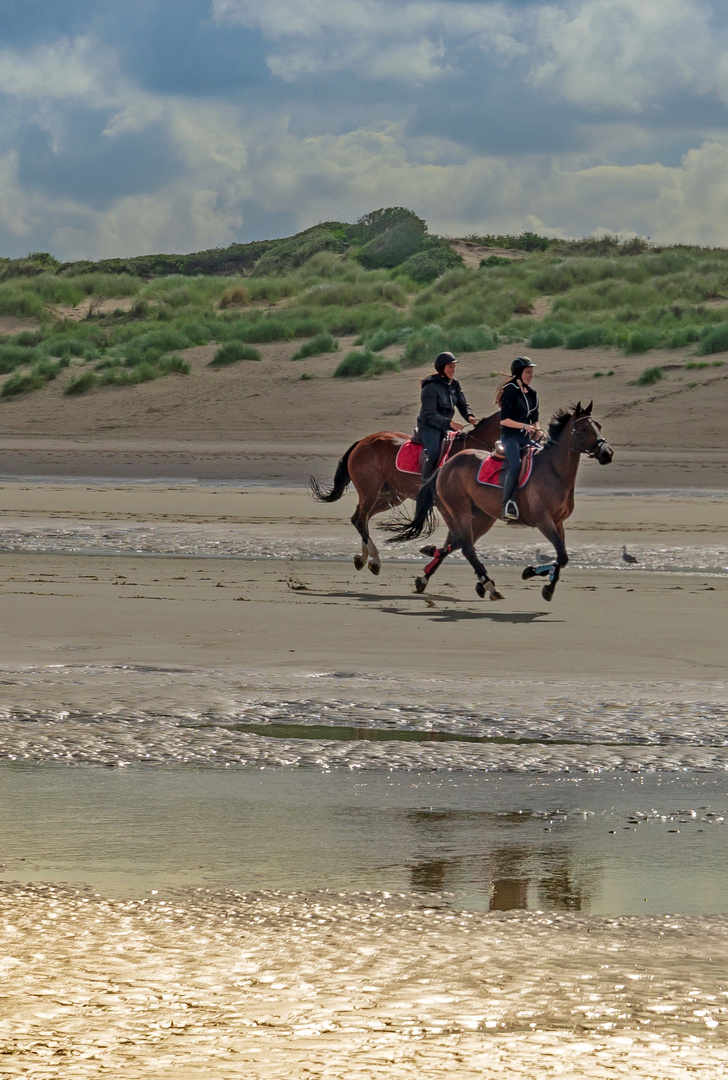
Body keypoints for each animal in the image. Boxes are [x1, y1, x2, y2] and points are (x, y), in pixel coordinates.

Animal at [308, 408, 501, 574]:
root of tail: (362, 441)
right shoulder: (446, 505)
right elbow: (458, 536)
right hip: (371, 490)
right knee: (360, 519)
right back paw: (374, 560)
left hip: (390, 496)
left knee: (362, 518)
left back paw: (363, 558)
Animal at [382, 403, 609, 604]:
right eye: (584, 428)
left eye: (598, 425)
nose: (607, 453)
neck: (554, 471)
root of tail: (447, 464)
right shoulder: (544, 521)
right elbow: (561, 556)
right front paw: (545, 585)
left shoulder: (558, 522)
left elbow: (563, 557)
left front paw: (533, 573)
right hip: (459, 510)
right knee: (466, 547)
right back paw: (489, 585)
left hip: (481, 516)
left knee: (457, 542)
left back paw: (431, 569)